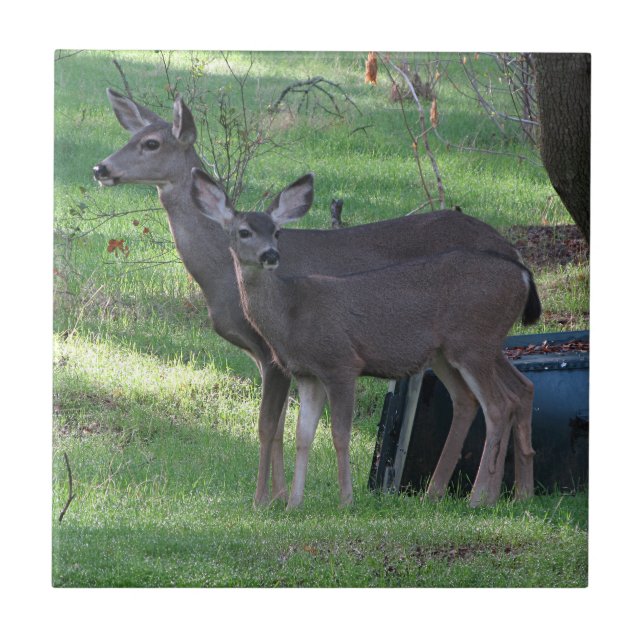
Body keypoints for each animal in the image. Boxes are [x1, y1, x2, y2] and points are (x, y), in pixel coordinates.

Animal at [191, 169, 540, 508]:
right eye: (243, 232)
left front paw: (346, 500)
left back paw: (479, 497)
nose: (270, 255)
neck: (291, 312)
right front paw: (293, 504)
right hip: (456, 351)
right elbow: (303, 435)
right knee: (505, 392)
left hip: (473, 343)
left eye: (277, 232)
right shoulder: (308, 374)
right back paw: (512, 494)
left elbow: (339, 433)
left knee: (497, 404)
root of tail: (524, 274)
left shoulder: (341, 362)